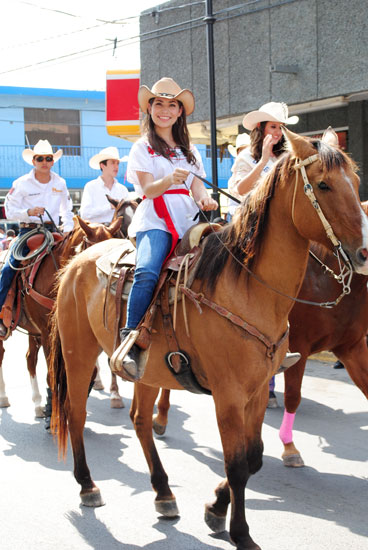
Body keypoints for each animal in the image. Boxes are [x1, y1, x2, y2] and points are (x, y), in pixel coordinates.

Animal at [48, 130, 368, 550]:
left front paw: (216, 508)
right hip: (79, 352)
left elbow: (254, 456)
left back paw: (164, 493)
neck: (247, 287)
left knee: (140, 420)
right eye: (324, 185)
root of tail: (78, 260)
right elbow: (236, 464)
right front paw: (241, 533)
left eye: (357, 183)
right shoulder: (228, 395)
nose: (364, 253)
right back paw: (88, 485)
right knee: (76, 412)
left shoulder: (256, 390)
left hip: (148, 371)